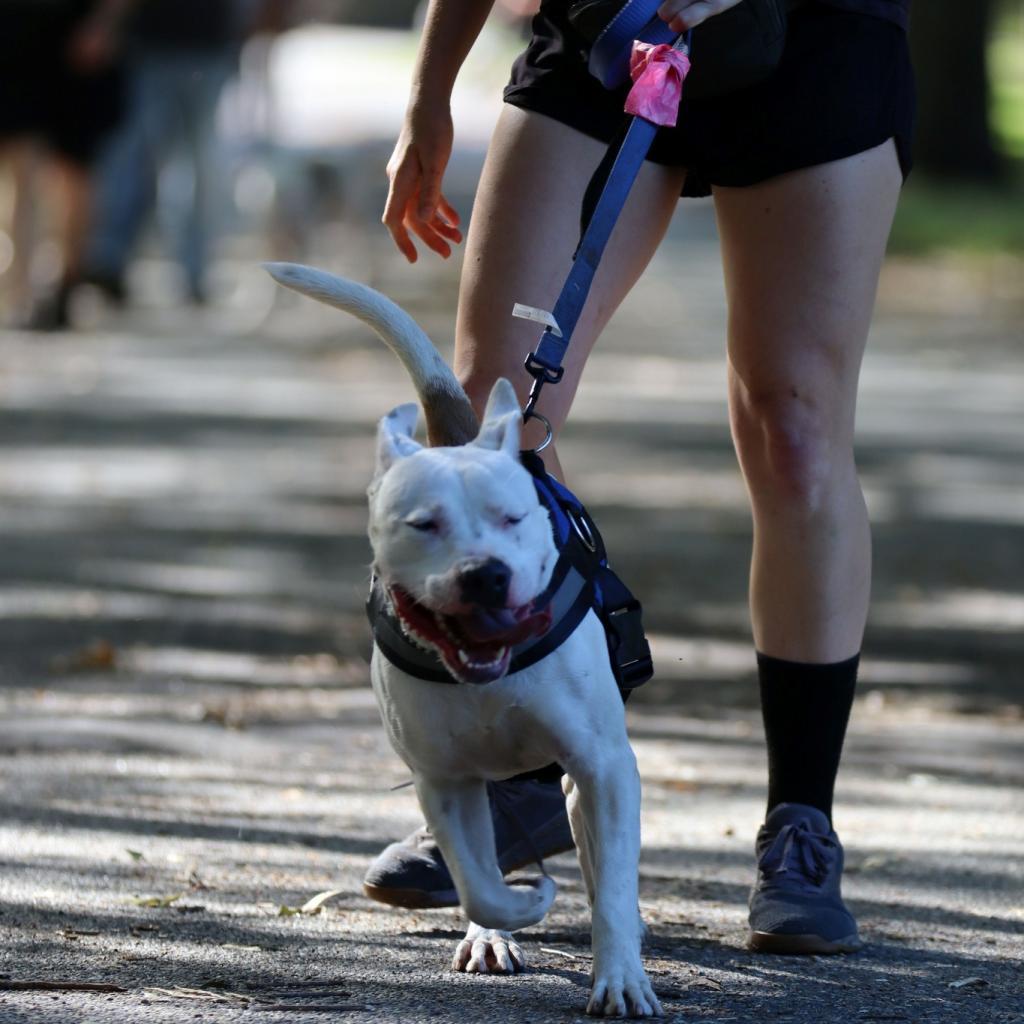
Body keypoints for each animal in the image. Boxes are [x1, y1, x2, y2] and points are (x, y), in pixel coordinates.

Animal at [268, 262, 659, 1015]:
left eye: (514, 518)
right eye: (424, 524)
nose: (484, 574)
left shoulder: (603, 765)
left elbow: (613, 885)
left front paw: (621, 975)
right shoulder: (445, 780)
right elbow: (481, 883)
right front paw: (517, 911)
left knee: (600, 858)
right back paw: (493, 935)